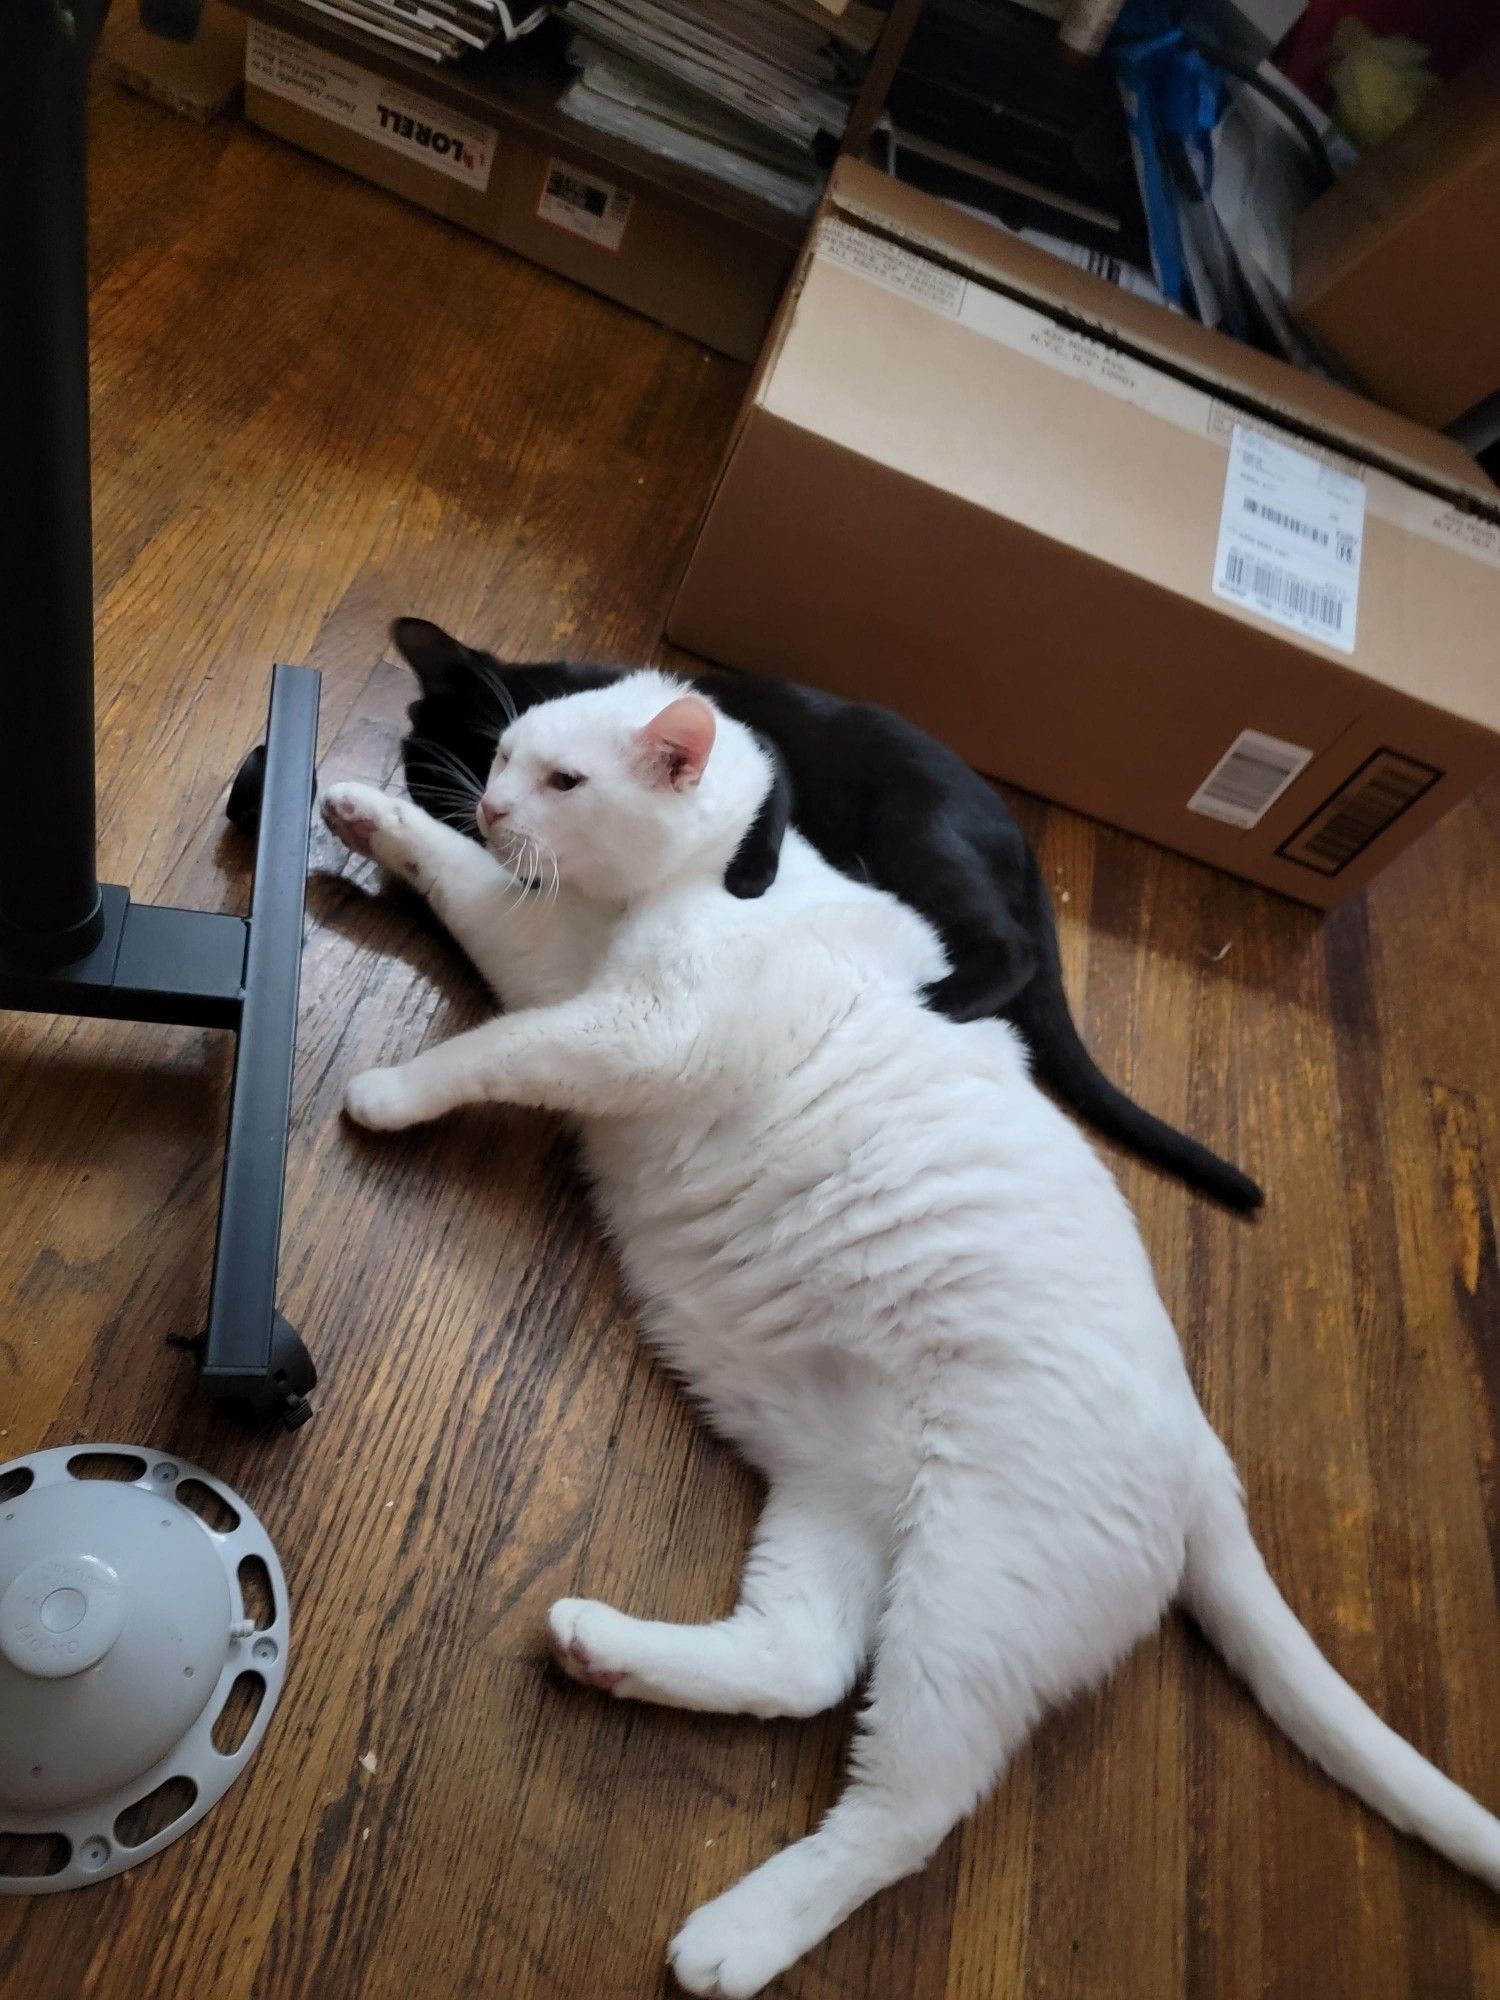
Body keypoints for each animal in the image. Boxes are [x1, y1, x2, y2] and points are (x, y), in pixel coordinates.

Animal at [320, 676, 1500, 2000]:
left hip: (967, 1603)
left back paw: (737, 1933)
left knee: (908, 1809)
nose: (493, 800)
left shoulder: (632, 1030)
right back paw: (607, 1651)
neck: (693, 889)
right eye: (505, 755)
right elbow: (470, 893)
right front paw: (372, 814)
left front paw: (393, 1090)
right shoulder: (553, 963)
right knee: (803, 1663)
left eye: (562, 780)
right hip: (834, 1498)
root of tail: (1209, 1463)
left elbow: (493, 1050)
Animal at [394, 616, 1264, 1208]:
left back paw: (941, 996)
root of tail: (1020, 838)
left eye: (483, 753)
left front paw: (750, 876)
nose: (481, 815)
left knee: (1008, 946)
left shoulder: (764, 751)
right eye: (441, 783)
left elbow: (765, 812)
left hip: (915, 832)